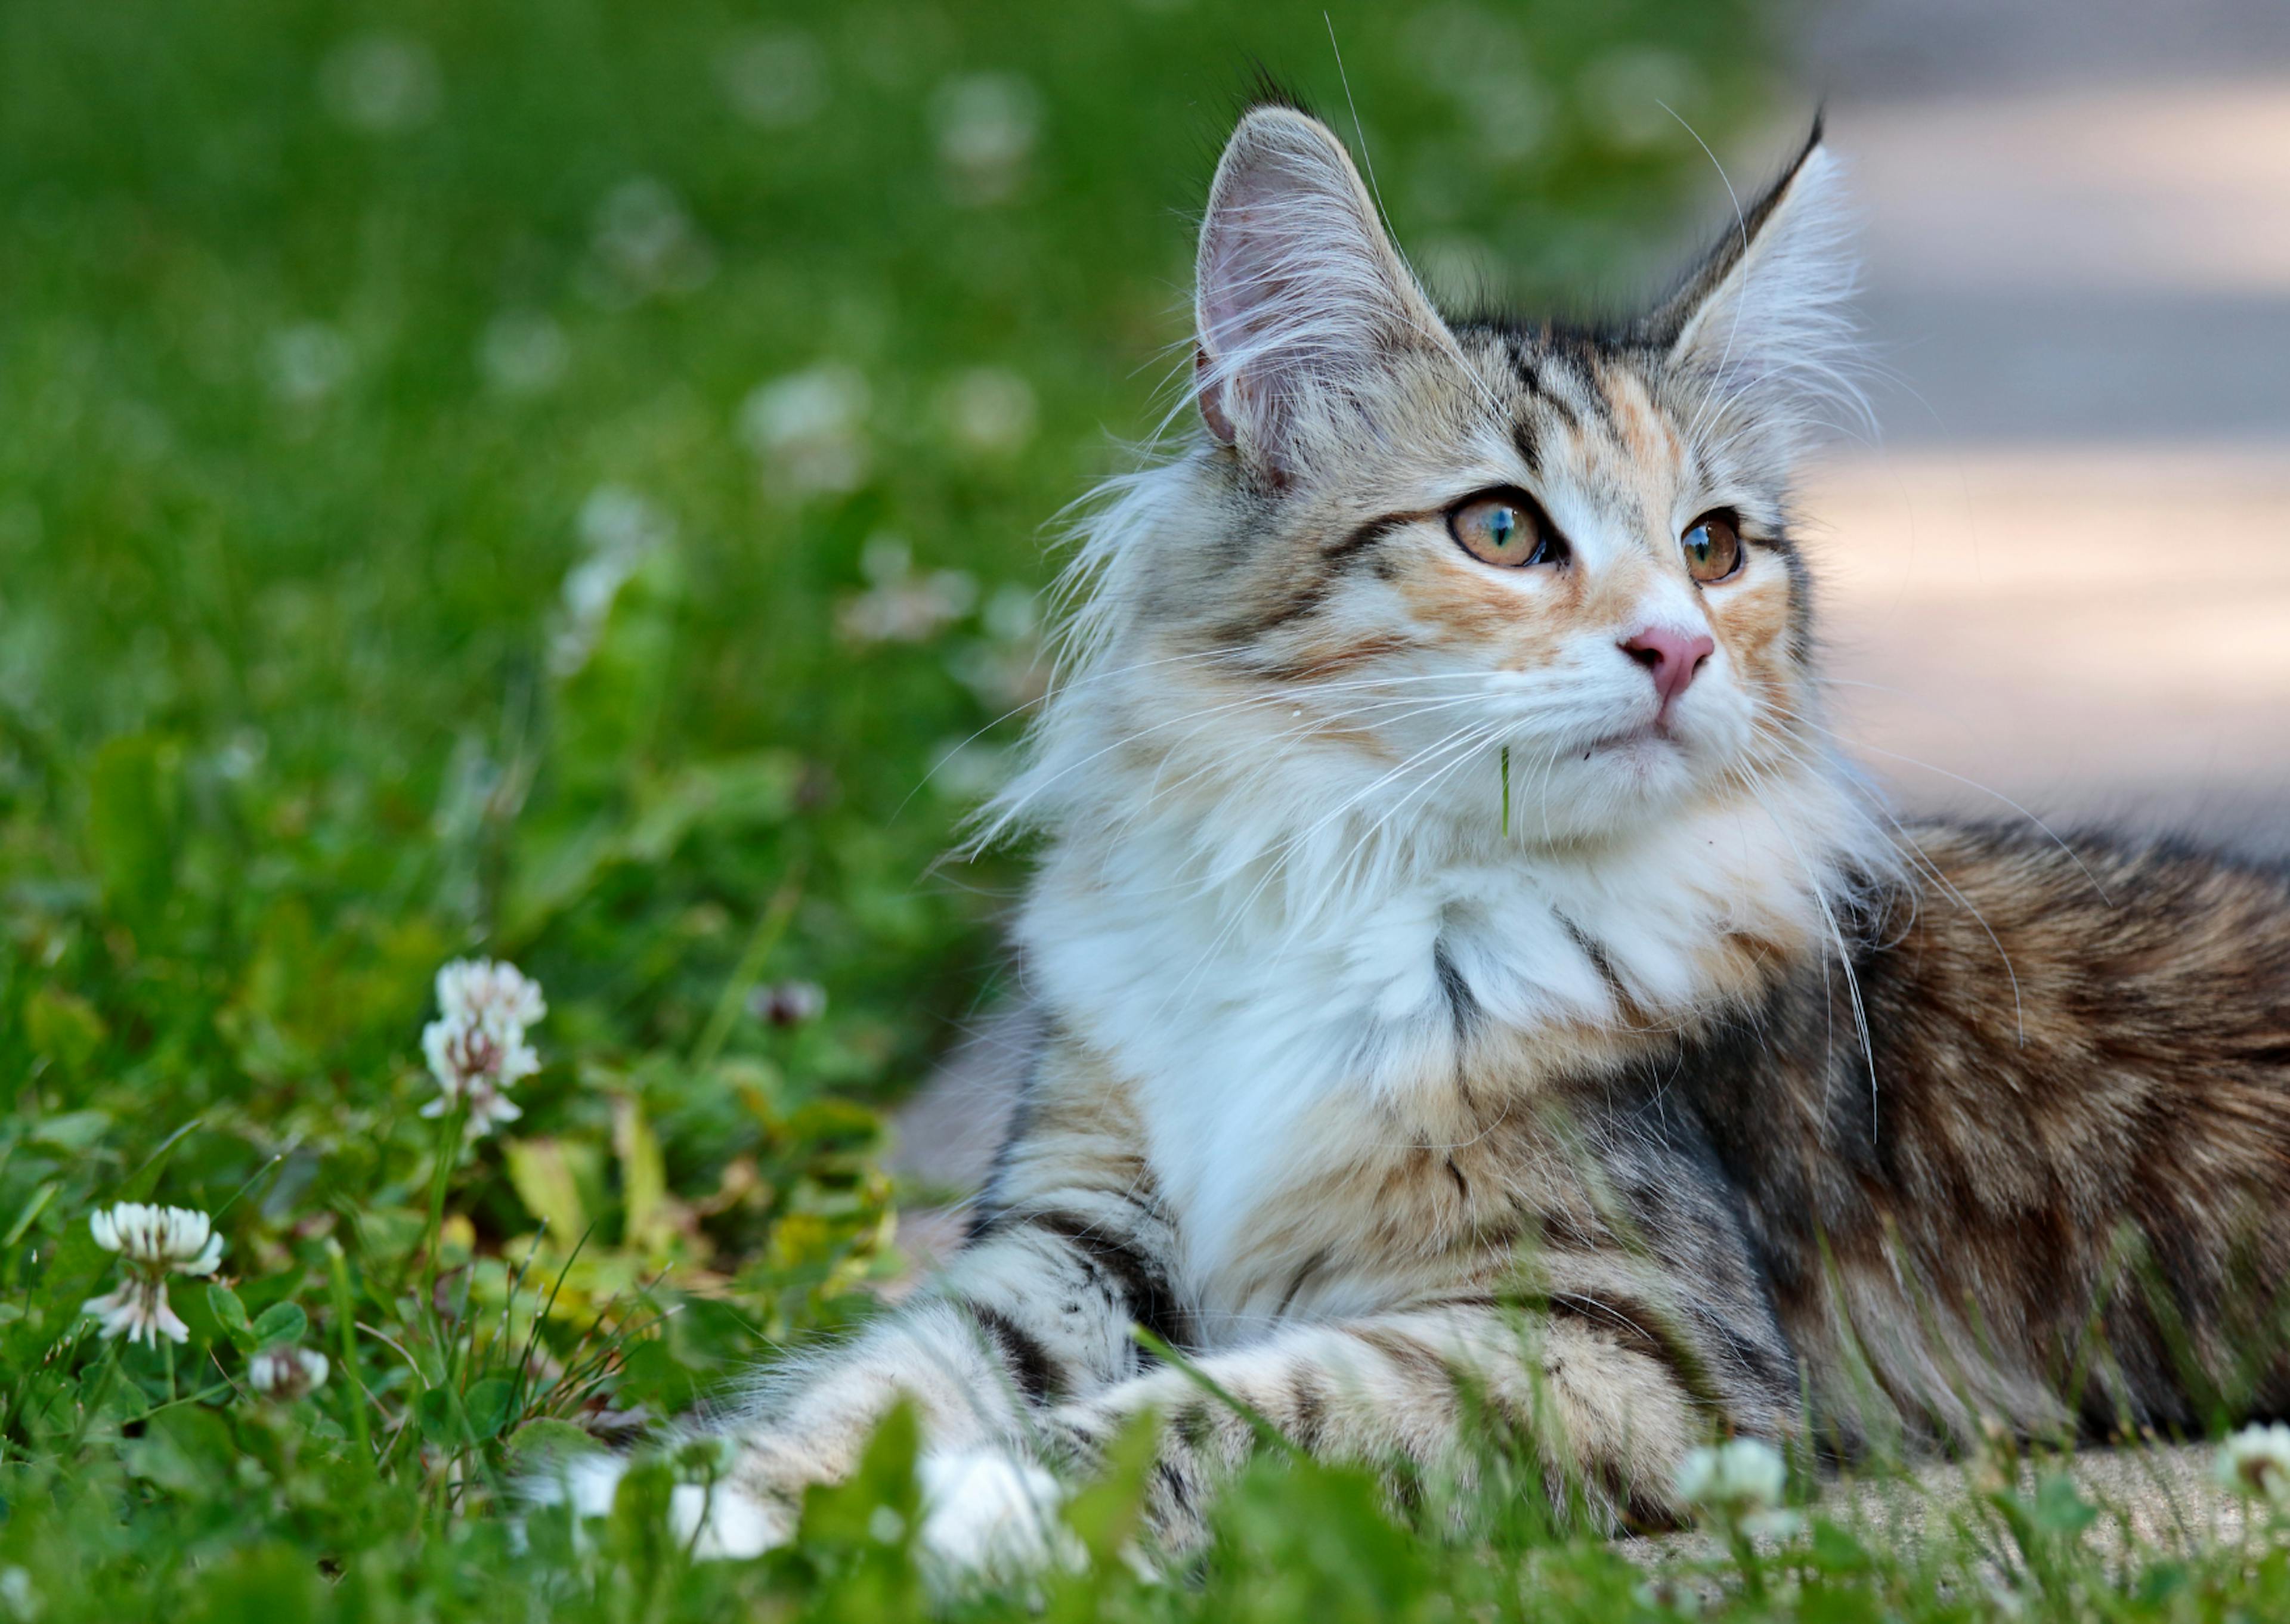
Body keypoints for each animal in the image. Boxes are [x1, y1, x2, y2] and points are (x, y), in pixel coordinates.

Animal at [563, 104, 2290, 1566]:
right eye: (1503, 528)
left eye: (1713, 547)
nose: (1679, 649)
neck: (1363, 873)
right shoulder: (1081, 1223)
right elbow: (887, 1380)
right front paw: (693, 1511)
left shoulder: (1628, 1339)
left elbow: (1225, 1414)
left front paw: (974, 1505)